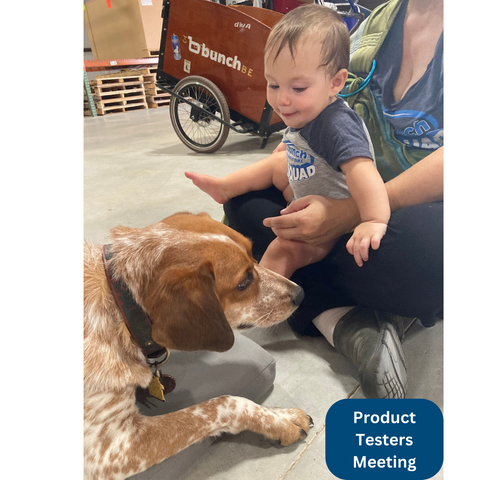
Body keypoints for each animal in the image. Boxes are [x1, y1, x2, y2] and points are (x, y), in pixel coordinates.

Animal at [84, 213, 314, 480]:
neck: (120, 305)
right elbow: (229, 403)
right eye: (244, 281)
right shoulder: (112, 449)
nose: (301, 293)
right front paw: (281, 422)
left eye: (252, 254)